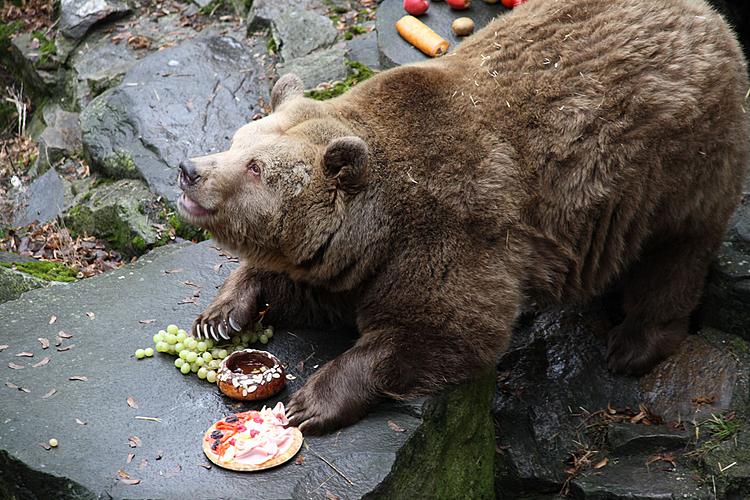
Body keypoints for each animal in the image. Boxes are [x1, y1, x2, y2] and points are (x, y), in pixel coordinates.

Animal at [178, 0, 750, 434]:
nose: (189, 170)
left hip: (677, 169)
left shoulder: (452, 228)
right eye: (237, 141)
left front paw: (309, 403)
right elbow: (307, 285)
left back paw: (632, 345)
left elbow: (444, 331)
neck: (380, 223)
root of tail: (712, 19)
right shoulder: (351, 261)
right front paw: (220, 315)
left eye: (255, 168)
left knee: (675, 254)